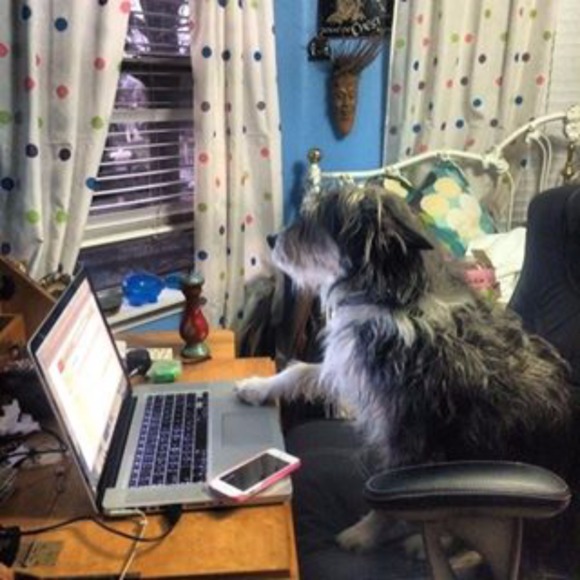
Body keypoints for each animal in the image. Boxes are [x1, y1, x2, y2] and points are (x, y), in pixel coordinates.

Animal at [235, 183, 574, 552]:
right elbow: (300, 372)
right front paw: (256, 386)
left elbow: (385, 495)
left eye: (314, 221)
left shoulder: (409, 433)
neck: (392, 299)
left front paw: (364, 534)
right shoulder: (352, 369)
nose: (270, 239)